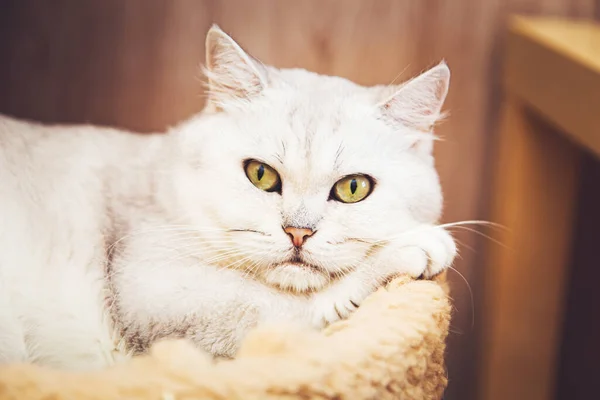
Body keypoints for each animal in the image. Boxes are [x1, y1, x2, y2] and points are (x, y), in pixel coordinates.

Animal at [0, 24, 454, 368]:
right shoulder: (153, 285)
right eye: (260, 175)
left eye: (352, 188)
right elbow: (291, 314)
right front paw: (409, 250)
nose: (298, 233)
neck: (160, 183)